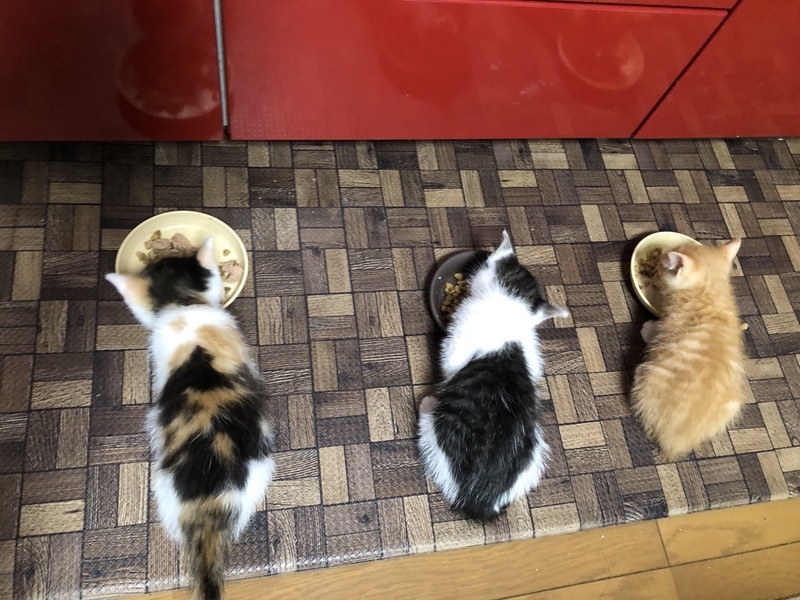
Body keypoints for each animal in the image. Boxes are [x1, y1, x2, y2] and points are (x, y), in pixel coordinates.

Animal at [418, 231, 569, 520]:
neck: (509, 308)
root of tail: (480, 499)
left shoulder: (458, 341)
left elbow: (449, 363)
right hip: (535, 454)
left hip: (443, 428)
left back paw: (427, 404)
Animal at [631, 238, 746, 462]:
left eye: (662, 266)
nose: (656, 269)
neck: (711, 295)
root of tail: (676, 439)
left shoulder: (670, 324)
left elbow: (656, 332)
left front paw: (647, 329)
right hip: (733, 405)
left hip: (649, 373)